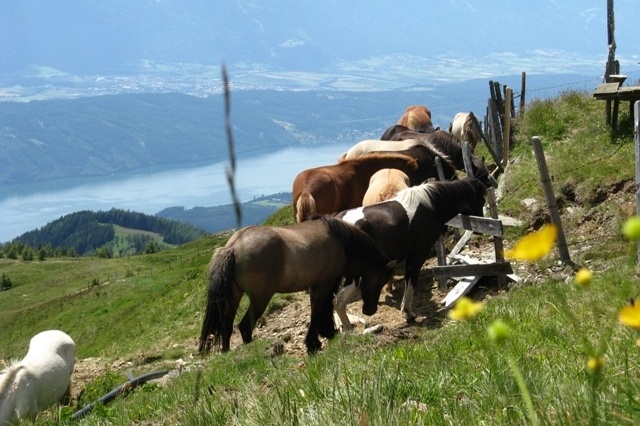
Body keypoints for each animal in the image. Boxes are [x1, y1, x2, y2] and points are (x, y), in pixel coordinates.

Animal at [198, 215, 396, 354]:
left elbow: (319, 309)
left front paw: (326, 334)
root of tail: (232, 247)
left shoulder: (318, 285)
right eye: (381, 281)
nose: (369, 310)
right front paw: (313, 343)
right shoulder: (325, 284)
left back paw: (227, 352)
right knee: (245, 326)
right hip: (260, 298)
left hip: (234, 296)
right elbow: (318, 310)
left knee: (227, 324)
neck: (341, 241)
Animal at [336, 176, 484, 326]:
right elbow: (412, 279)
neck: (429, 208)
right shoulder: (418, 254)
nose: (479, 228)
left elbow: (408, 278)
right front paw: (408, 312)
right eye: (482, 199)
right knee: (339, 302)